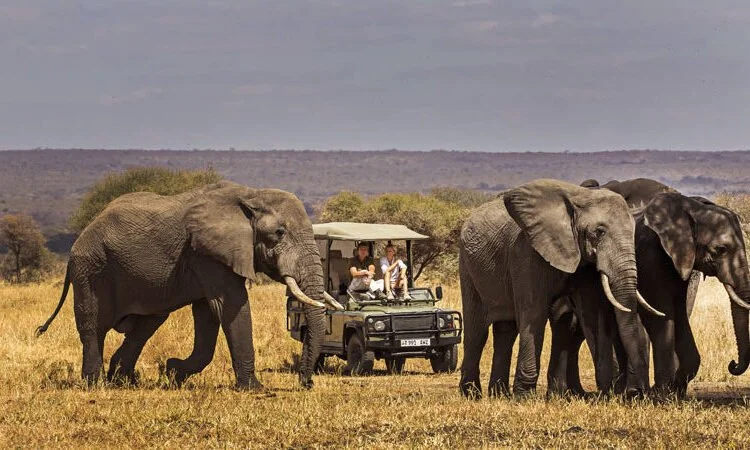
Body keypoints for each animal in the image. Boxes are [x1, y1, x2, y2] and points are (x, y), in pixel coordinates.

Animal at [36, 181, 343, 389]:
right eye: (278, 233)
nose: (306, 382)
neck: (251, 194)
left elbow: (208, 314)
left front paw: (172, 371)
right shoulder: (206, 253)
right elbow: (231, 305)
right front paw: (255, 389)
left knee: (145, 326)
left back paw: (123, 381)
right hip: (90, 268)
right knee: (93, 327)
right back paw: (96, 384)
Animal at [458, 179, 661, 398]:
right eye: (599, 232)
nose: (636, 392)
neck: (580, 198)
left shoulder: (583, 265)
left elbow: (591, 314)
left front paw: (607, 394)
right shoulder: (527, 253)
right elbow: (534, 314)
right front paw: (524, 398)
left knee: (506, 332)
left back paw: (499, 395)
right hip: (467, 267)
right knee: (477, 332)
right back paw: (471, 394)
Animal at [549, 178, 750, 397]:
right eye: (721, 249)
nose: (732, 364)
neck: (691, 208)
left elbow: (679, 315)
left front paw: (671, 392)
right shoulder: (651, 257)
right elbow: (660, 316)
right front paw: (660, 394)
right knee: (570, 325)